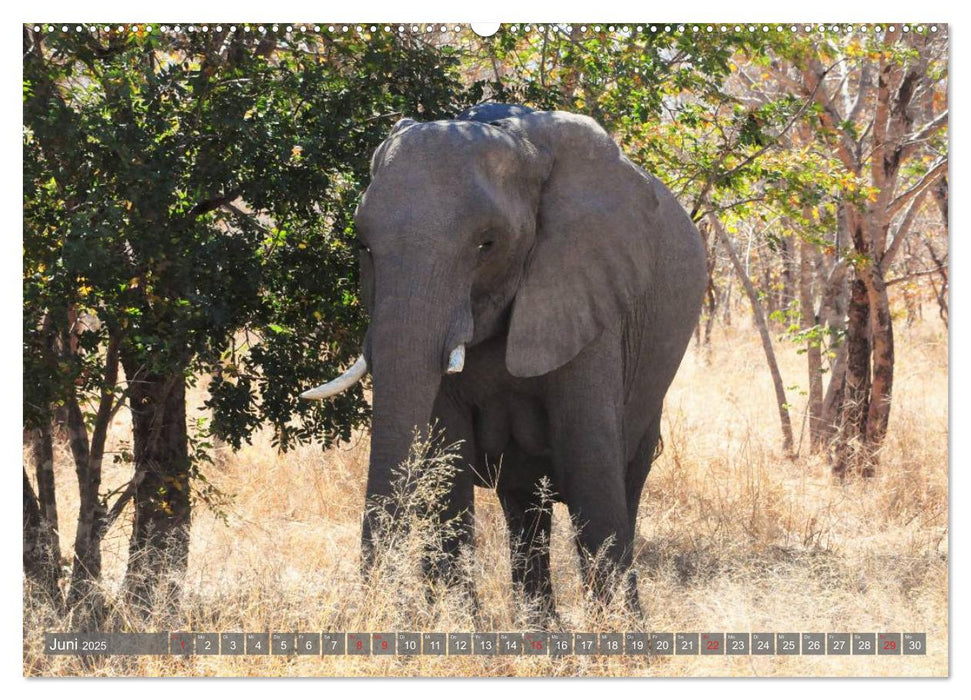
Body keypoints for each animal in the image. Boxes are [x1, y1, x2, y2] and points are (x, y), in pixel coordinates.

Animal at [304, 101, 708, 616]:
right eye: (364, 246)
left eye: (487, 244)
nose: (383, 605)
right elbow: (447, 469)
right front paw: (457, 621)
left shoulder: (588, 288)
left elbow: (591, 465)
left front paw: (617, 628)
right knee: (524, 503)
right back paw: (540, 623)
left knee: (627, 479)